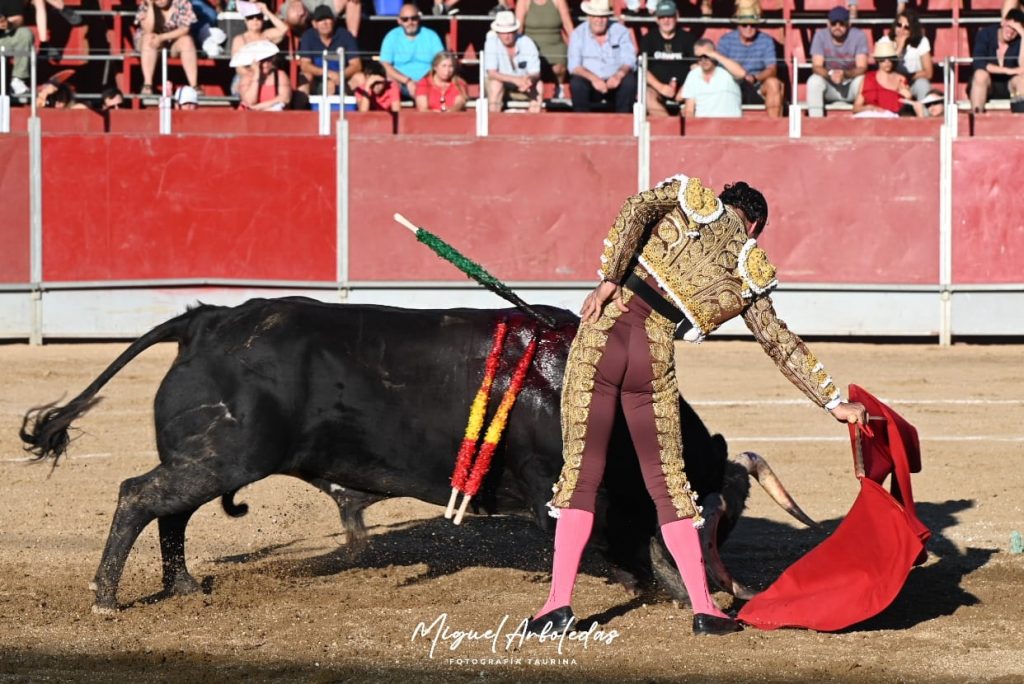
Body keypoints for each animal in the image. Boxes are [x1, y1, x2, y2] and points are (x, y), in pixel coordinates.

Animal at [18, 298, 798, 614]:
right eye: (709, 520)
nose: (732, 590)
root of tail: (207, 320)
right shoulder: (566, 494)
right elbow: (624, 541)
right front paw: (671, 591)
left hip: (211, 461)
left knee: (171, 513)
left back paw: (181, 587)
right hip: (220, 456)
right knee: (139, 497)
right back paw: (106, 598)